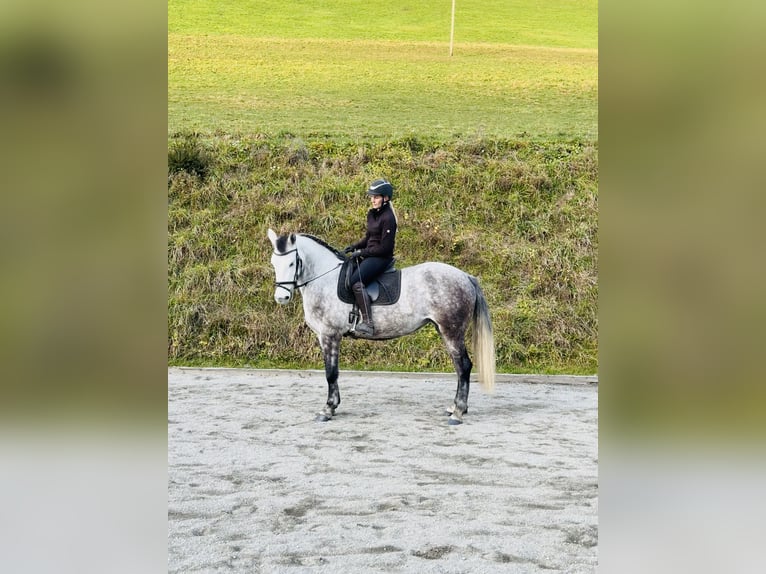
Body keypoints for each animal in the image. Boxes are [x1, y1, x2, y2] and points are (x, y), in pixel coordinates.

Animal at [267, 228, 495, 425]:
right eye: (273, 262)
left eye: (291, 263)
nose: (281, 298)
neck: (324, 279)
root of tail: (465, 276)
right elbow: (334, 372)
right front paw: (334, 406)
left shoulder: (329, 335)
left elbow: (331, 373)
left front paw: (328, 409)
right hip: (444, 329)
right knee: (459, 367)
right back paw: (455, 408)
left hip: (452, 330)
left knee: (464, 366)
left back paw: (458, 412)